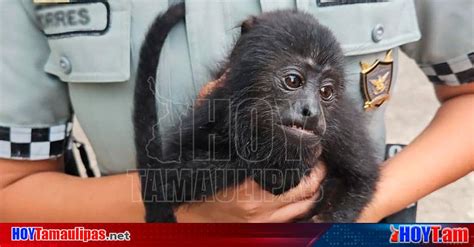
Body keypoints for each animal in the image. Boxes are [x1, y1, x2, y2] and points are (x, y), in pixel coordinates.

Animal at [135, 2, 380, 222]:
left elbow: (361, 178)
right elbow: (168, 178)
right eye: (293, 81)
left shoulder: (340, 126)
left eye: (326, 92)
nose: (310, 111)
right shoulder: (219, 104)